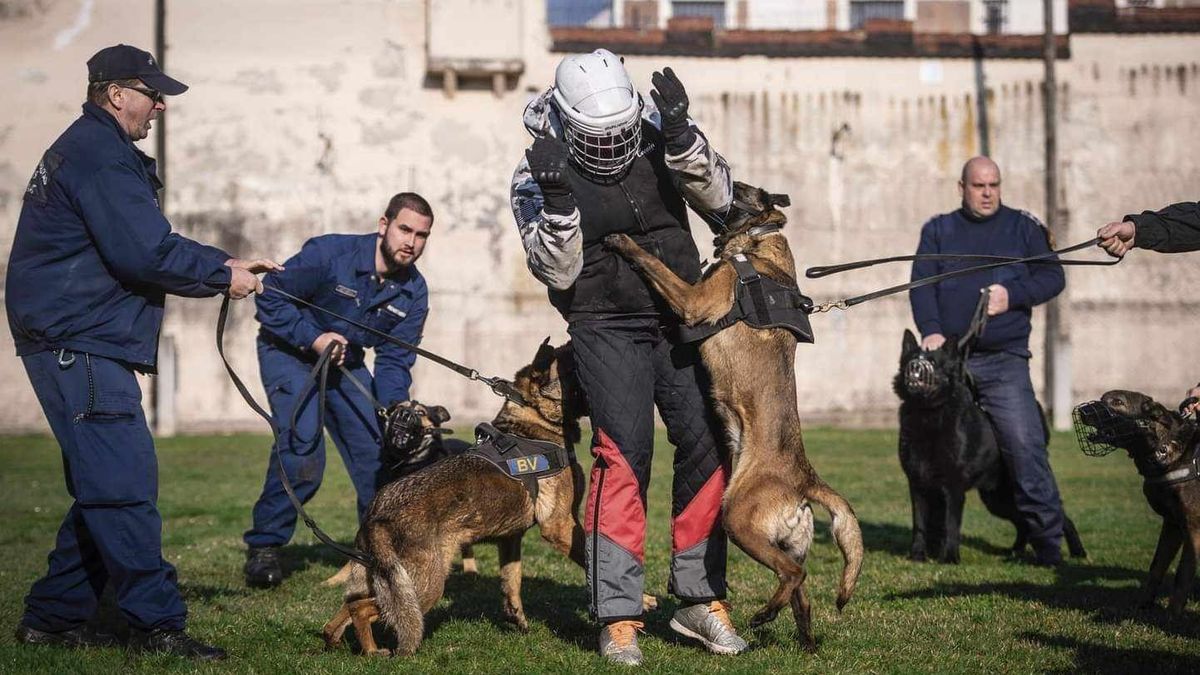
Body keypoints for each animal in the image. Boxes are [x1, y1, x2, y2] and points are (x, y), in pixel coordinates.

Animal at [604, 181, 868, 648]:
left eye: (738, 188)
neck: (758, 241)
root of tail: (805, 479)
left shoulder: (694, 299)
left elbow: (656, 265)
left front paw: (625, 243)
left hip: (738, 519)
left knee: (793, 574)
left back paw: (764, 615)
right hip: (780, 539)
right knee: (802, 593)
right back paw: (803, 640)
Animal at [1094, 386, 1195, 612]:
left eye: (1118, 402)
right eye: (1102, 398)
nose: (1082, 412)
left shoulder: (1194, 530)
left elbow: (1183, 574)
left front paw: (1173, 614)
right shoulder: (1173, 525)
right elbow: (1156, 567)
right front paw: (1144, 604)